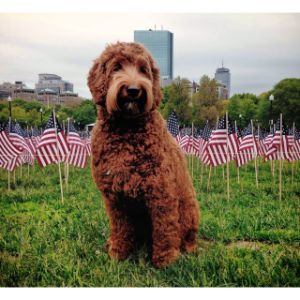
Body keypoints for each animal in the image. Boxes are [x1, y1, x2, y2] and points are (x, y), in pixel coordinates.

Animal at [87, 41, 199, 268]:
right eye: (116, 67)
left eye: (143, 70)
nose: (133, 90)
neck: (127, 129)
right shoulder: (115, 198)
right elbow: (120, 228)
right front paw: (118, 255)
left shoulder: (161, 192)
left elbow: (165, 229)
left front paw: (166, 261)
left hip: (188, 212)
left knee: (185, 237)